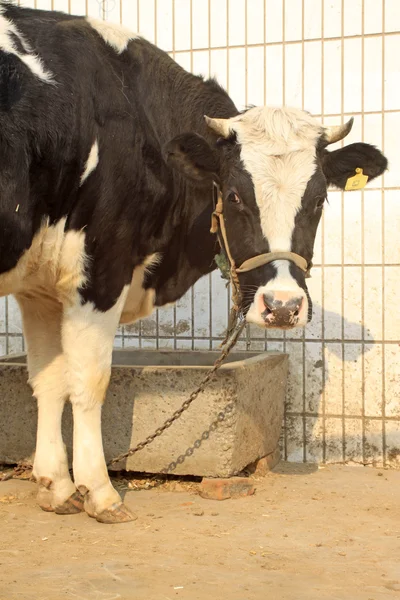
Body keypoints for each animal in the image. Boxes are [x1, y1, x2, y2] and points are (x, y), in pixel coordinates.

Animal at [0, 2, 388, 524]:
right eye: (235, 194)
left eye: (318, 199)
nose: (283, 306)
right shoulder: (102, 268)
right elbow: (88, 380)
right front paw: (99, 492)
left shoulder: (40, 284)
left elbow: (47, 379)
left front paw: (56, 487)